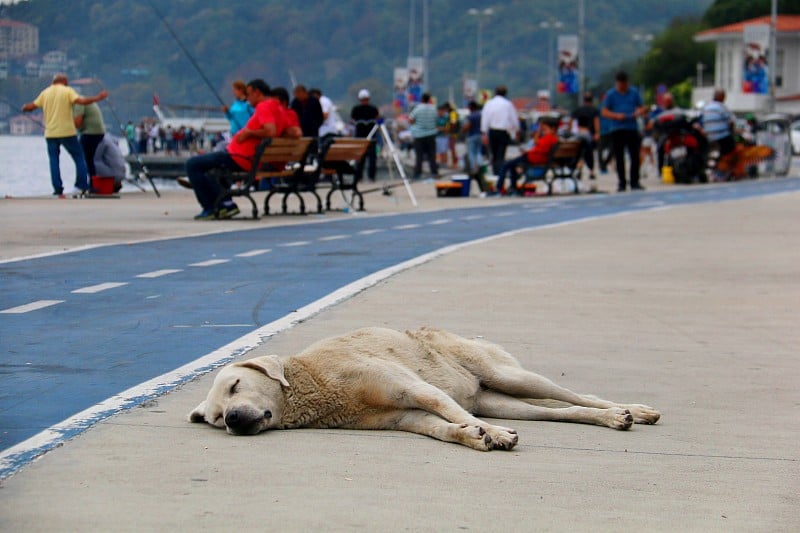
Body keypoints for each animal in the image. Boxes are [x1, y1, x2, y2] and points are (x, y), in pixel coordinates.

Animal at [191, 326, 660, 450]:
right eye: (215, 420)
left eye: (235, 385)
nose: (233, 420)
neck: (312, 381)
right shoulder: (400, 417)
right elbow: (440, 426)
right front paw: (473, 436)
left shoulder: (411, 388)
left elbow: (443, 406)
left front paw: (492, 435)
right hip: (499, 399)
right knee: (556, 409)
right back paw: (611, 417)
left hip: (503, 372)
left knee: (577, 396)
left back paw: (629, 410)